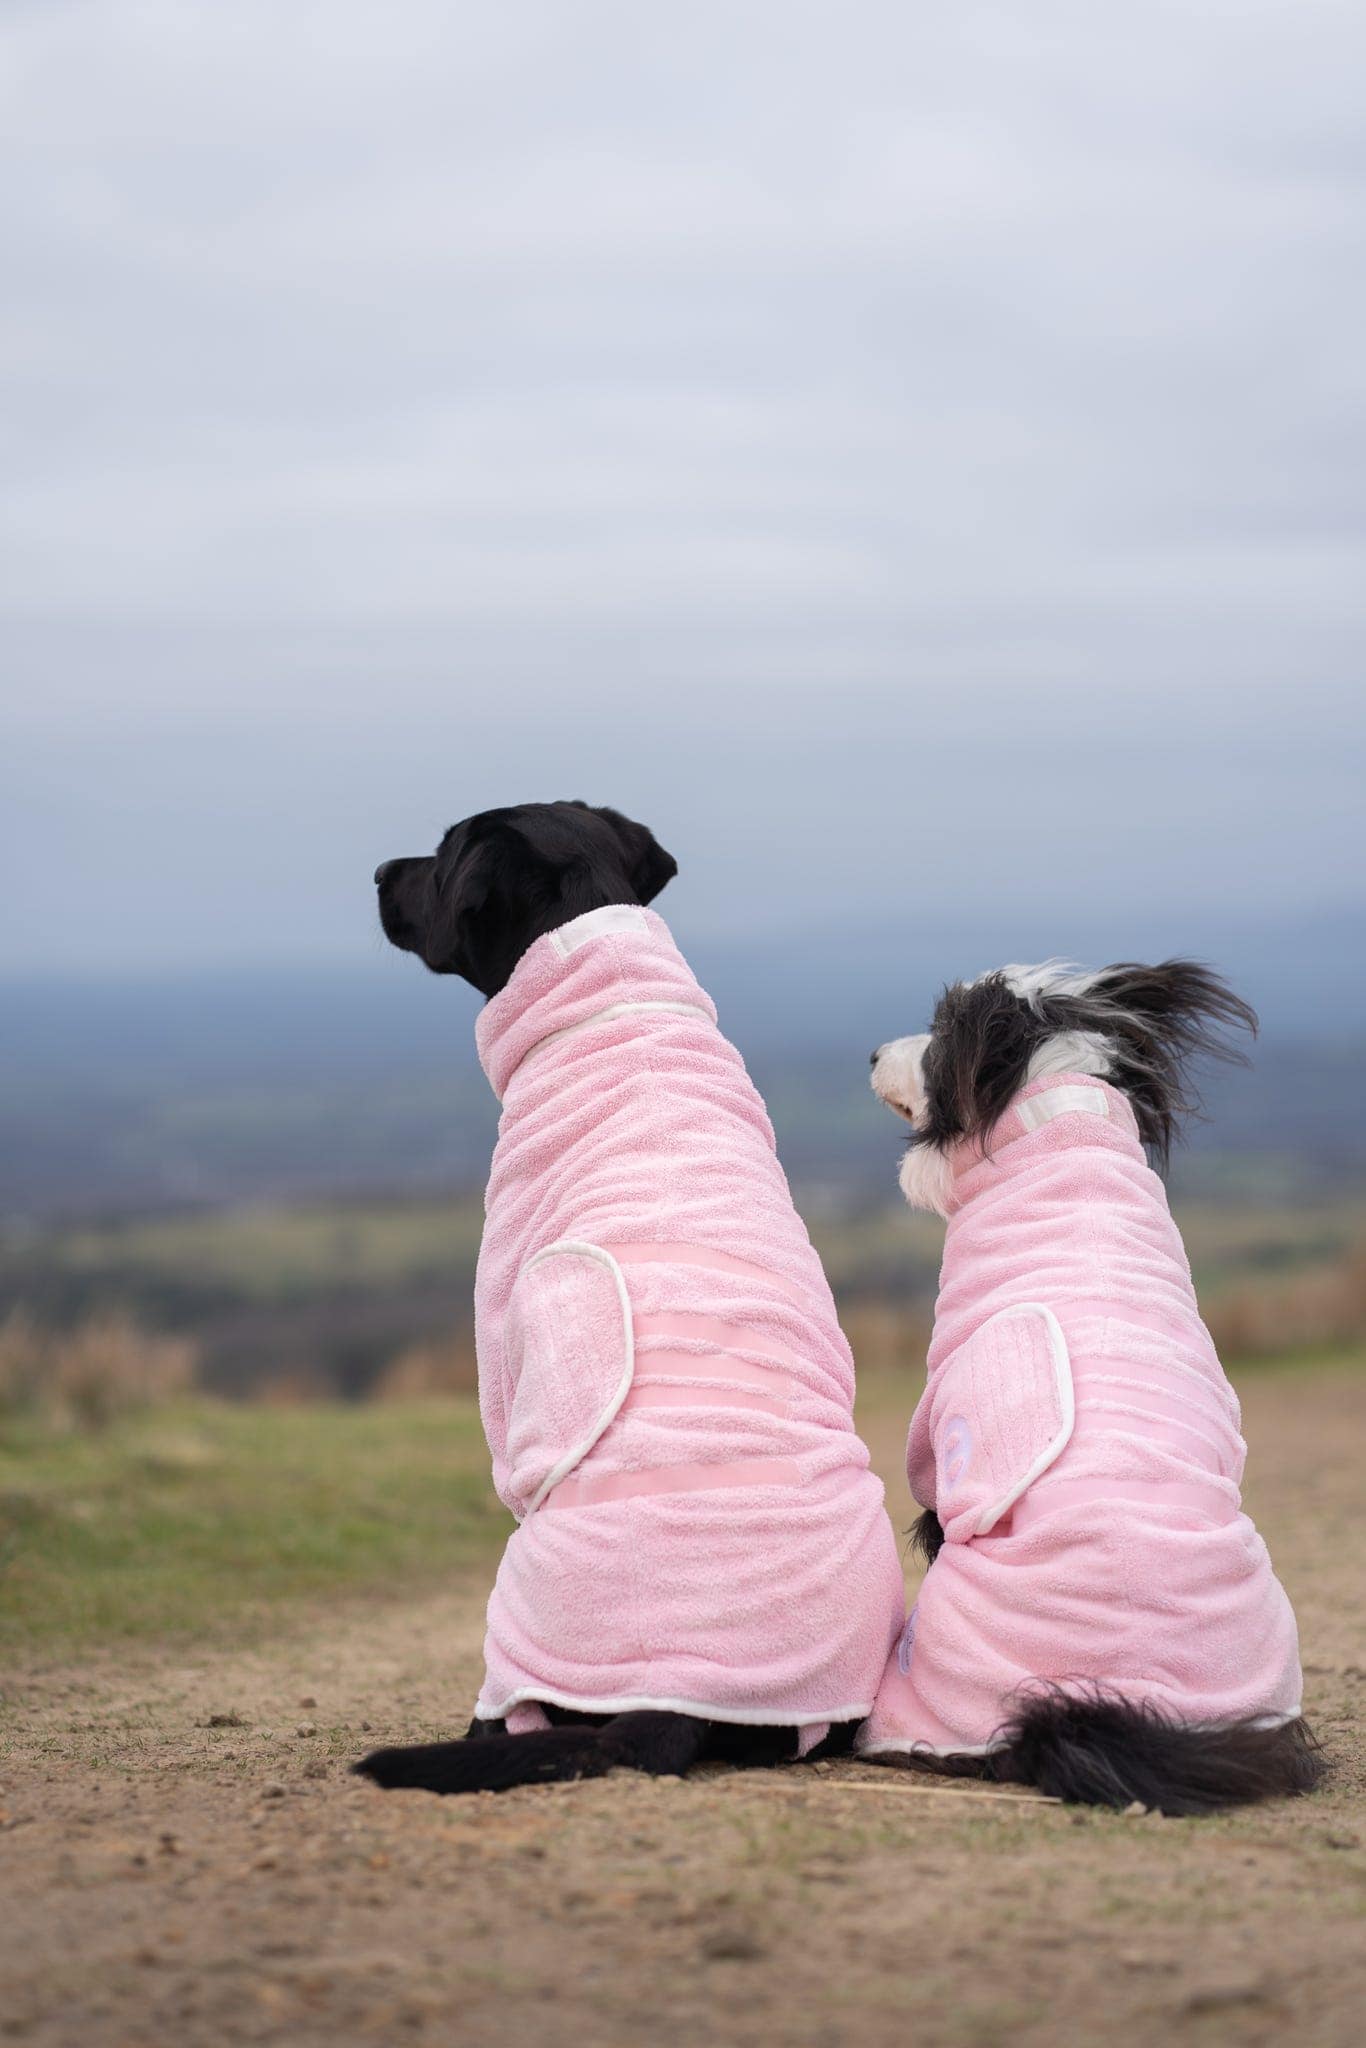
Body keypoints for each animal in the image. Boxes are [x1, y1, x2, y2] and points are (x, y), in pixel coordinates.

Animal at [357, 802, 904, 1793]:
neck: (610, 997)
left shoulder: (502, 1338)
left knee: (508, 1714)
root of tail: (673, 1698)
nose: (379, 870)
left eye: (445, 852)